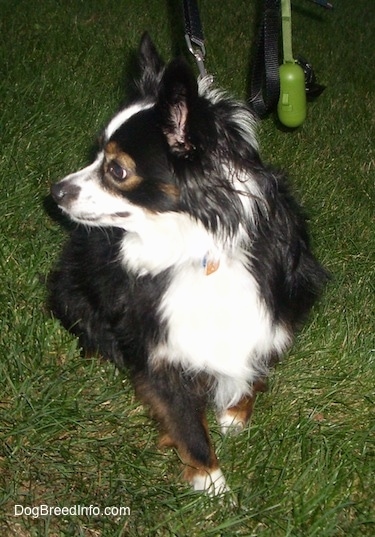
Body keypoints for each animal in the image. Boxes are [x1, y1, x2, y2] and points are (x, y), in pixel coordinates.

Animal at [48, 32, 328, 494]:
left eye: (116, 170)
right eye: (95, 155)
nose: (55, 192)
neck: (201, 245)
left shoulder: (277, 313)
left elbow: (256, 364)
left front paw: (235, 412)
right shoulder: (161, 345)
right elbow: (184, 419)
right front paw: (211, 482)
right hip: (69, 288)